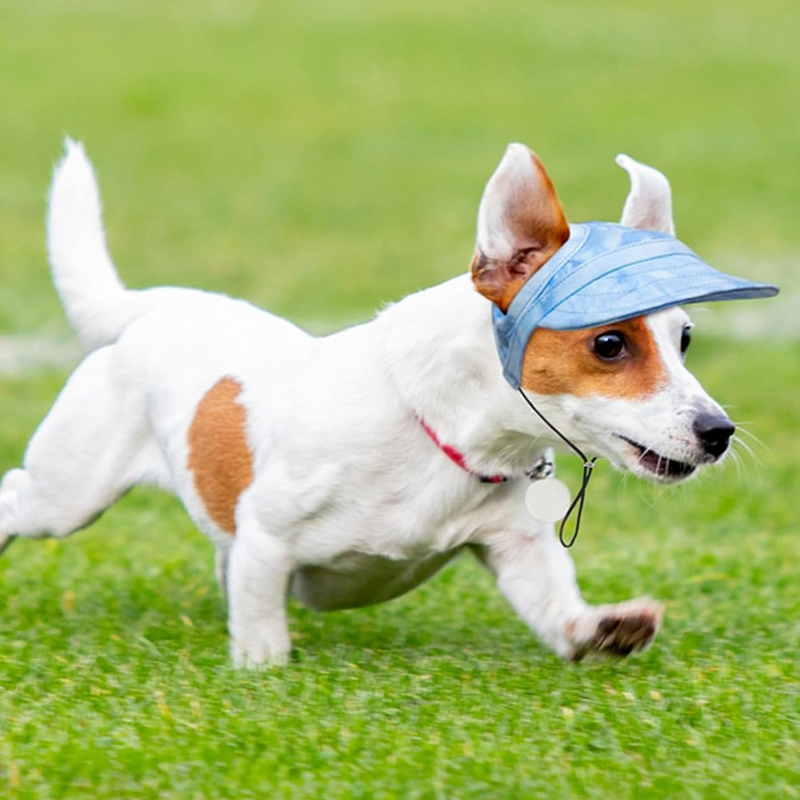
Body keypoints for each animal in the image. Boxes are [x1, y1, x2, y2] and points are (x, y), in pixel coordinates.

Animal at [0, 141, 760, 664]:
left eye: (685, 338)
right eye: (609, 343)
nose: (719, 431)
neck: (441, 436)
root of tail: (151, 308)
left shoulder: (515, 546)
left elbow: (553, 603)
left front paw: (601, 630)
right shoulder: (267, 535)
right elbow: (262, 622)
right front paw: (262, 668)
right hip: (70, 493)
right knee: (17, 492)